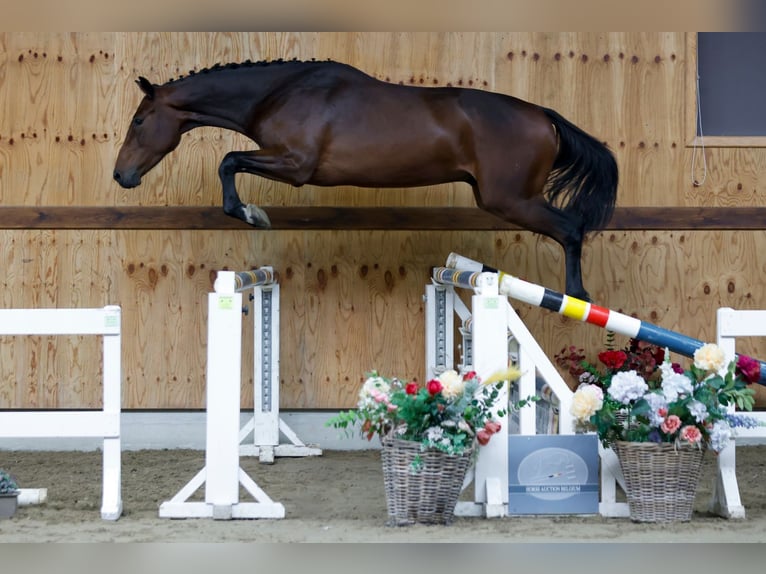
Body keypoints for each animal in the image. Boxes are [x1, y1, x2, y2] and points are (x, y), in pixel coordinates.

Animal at [112, 59, 616, 302]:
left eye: (138, 120)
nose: (122, 175)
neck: (280, 92)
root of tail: (544, 116)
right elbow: (231, 160)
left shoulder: (295, 165)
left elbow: (228, 160)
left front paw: (251, 214)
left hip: (510, 200)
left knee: (571, 229)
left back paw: (577, 296)